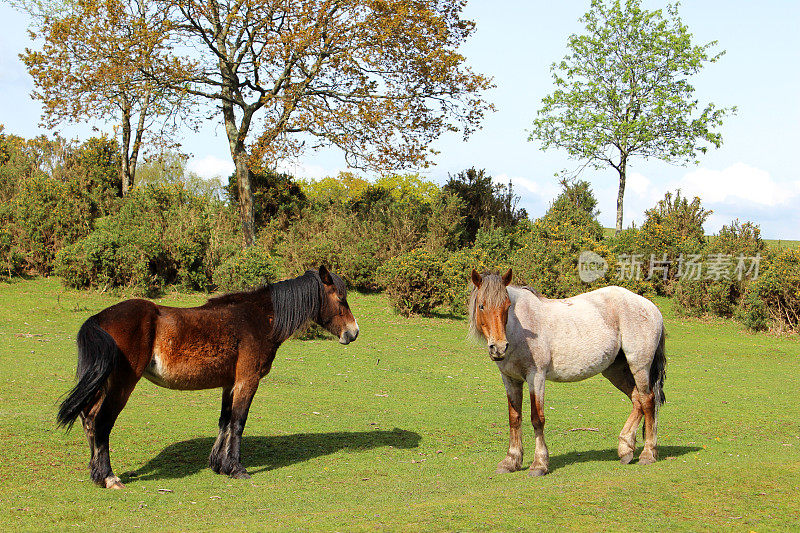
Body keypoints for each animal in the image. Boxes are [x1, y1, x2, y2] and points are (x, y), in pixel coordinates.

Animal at [61, 264, 360, 486]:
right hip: (122, 384)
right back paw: (109, 477)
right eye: (341, 299)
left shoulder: (230, 383)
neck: (258, 319)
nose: (353, 332)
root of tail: (100, 318)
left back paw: (96, 473)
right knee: (101, 422)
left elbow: (224, 421)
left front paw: (219, 464)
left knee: (88, 418)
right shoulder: (247, 380)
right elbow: (238, 422)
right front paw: (237, 468)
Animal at [468, 268, 664, 476]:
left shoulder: (536, 377)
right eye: (481, 306)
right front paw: (510, 461)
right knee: (637, 400)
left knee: (648, 401)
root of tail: (651, 307)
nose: (498, 348)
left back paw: (648, 454)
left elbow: (537, 418)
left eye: (507, 306)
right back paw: (626, 449)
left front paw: (539, 464)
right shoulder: (510, 379)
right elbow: (514, 418)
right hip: (615, 370)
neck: (519, 329)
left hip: (639, 365)